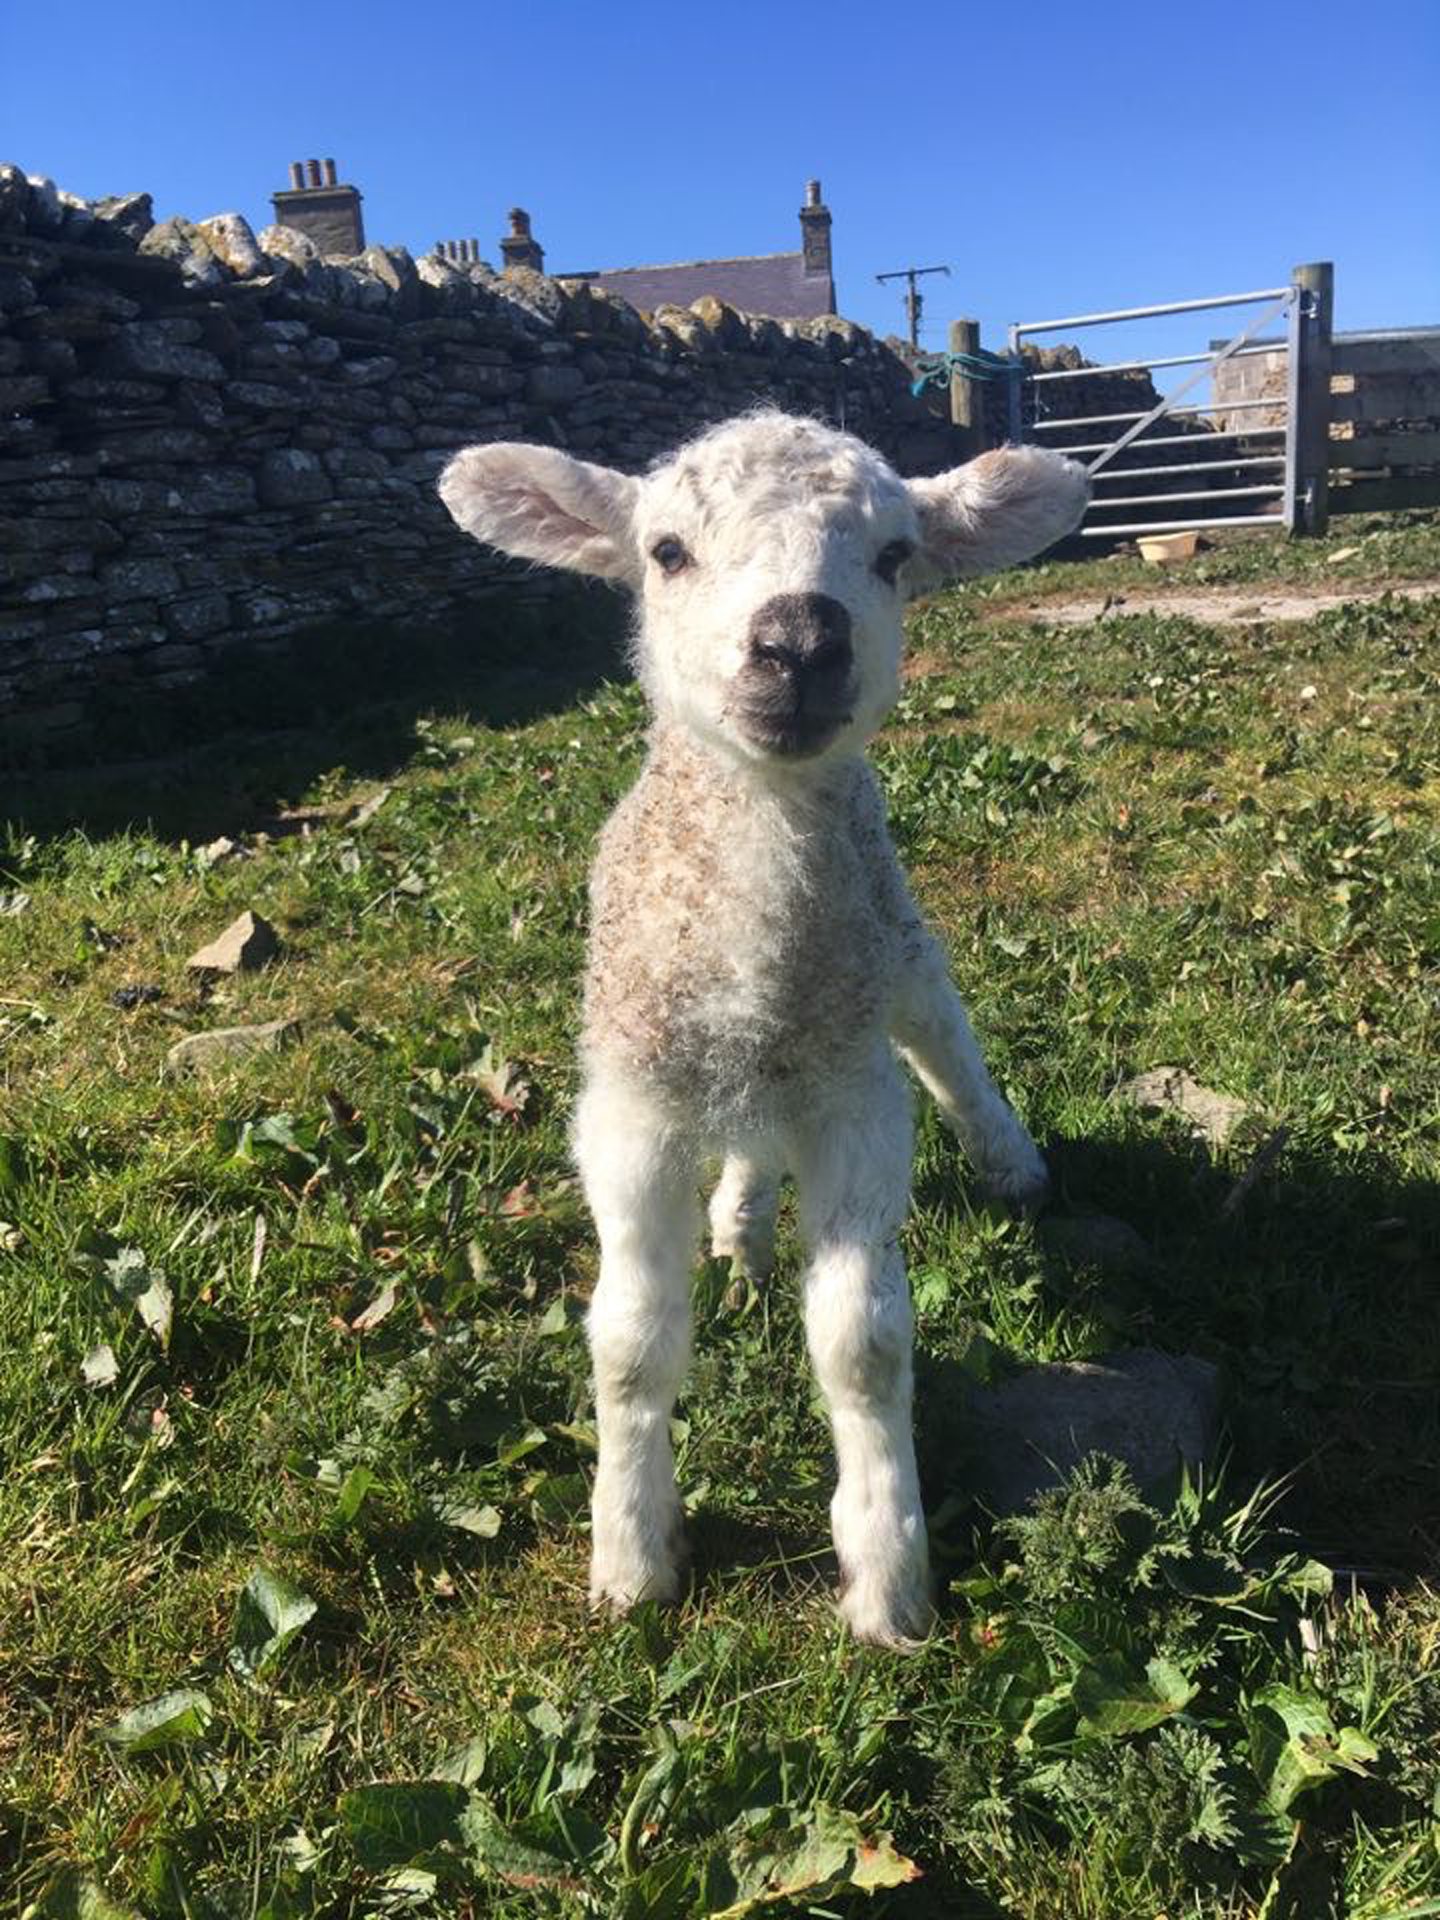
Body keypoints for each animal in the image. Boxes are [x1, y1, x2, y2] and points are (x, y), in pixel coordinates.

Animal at [443, 412, 1090, 1643]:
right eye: (665, 551)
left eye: (894, 554)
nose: (801, 639)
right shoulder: (632, 1109)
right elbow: (631, 1347)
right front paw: (631, 1555)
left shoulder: (855, 1099)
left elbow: (863, 1346)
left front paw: (888, 1577)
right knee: (751, 1143)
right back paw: (739, 1232)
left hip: (890, 937)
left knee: (944, 1033)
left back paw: (1013, 1162)